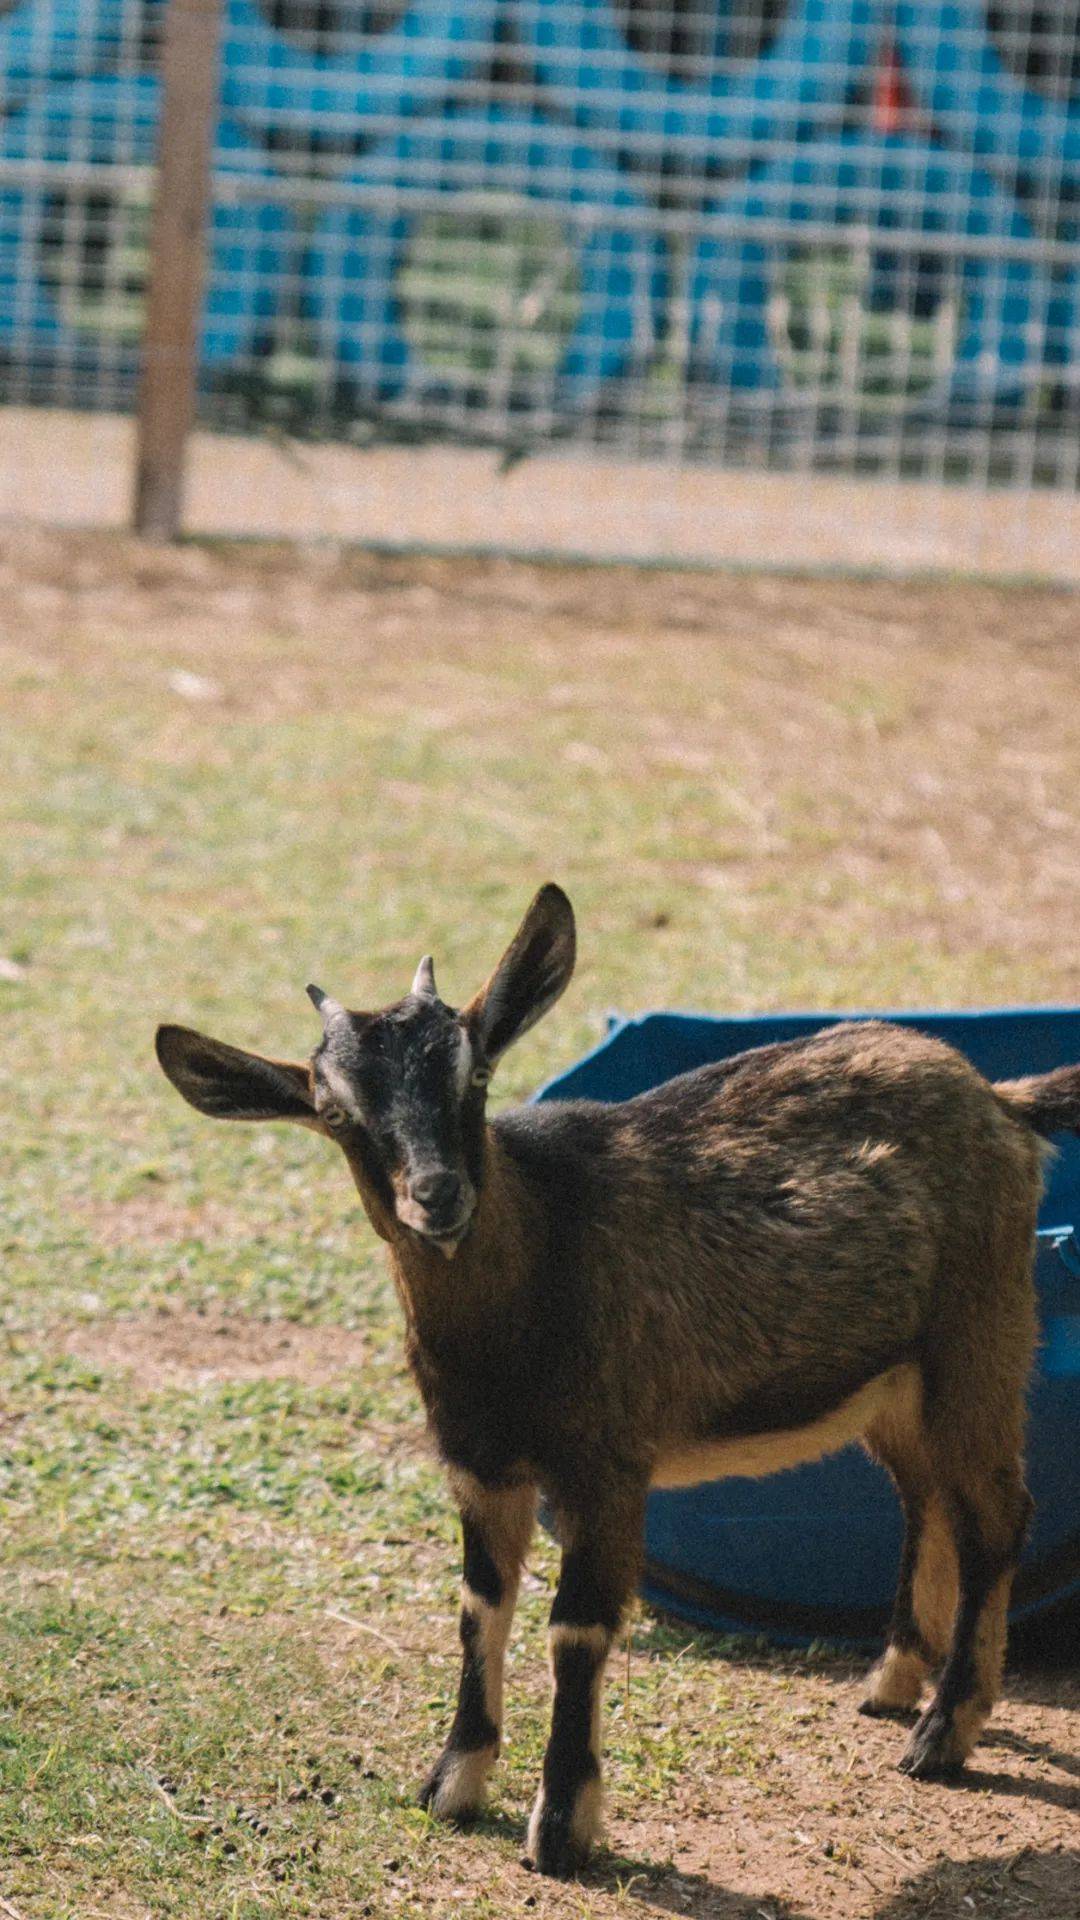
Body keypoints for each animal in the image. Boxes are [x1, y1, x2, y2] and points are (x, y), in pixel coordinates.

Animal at [153, 890, 1076, 1881]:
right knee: (925, 1499)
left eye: (476, 1074)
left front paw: (562, 1825)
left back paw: (943, 1734)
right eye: (334, 1112)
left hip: (980, 1336)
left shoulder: (605, 1467)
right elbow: (481, 1606)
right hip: (891, 1381)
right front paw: (452, 1783)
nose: (436, 1194)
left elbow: (577, 1628)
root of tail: (1000, 1100)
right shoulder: (480, 1466)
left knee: (996, 1516)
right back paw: (893, 1684)